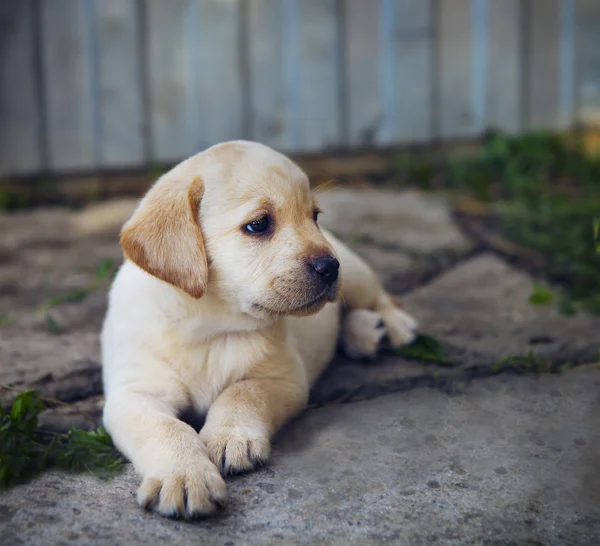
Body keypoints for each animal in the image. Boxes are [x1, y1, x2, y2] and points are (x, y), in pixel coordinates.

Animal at [102, 139, 418, 516]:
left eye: (314, 216)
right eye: (259, 224)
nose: (330, 267)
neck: (210, 326)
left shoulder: (284, 379)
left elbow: (242, 391)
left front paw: (229, 436)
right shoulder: (134, 395)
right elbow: (166, 427)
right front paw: (185, 475)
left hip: (356, 275)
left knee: (377, 296)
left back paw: (392, 326)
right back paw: (364, 333)